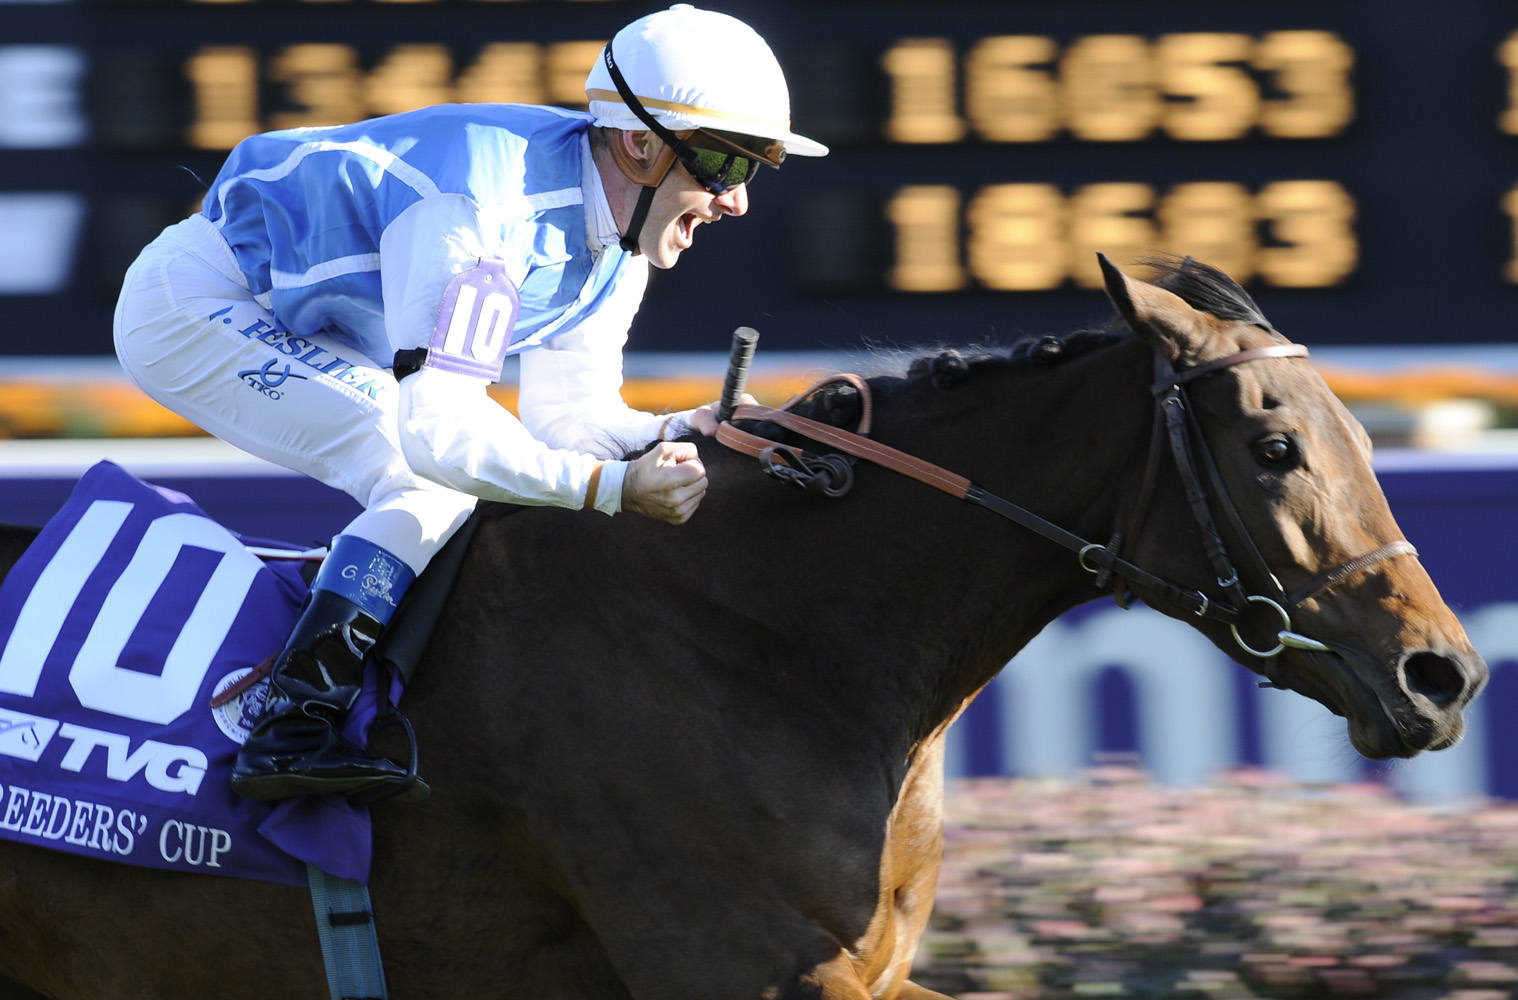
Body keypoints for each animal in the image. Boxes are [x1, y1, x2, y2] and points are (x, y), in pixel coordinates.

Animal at [0, 257, 1481, 1000]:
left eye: (1360, 438)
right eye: (1276, 447)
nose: (1443, 671)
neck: (769, 638)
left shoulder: (864, 969)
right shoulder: (750, 967)